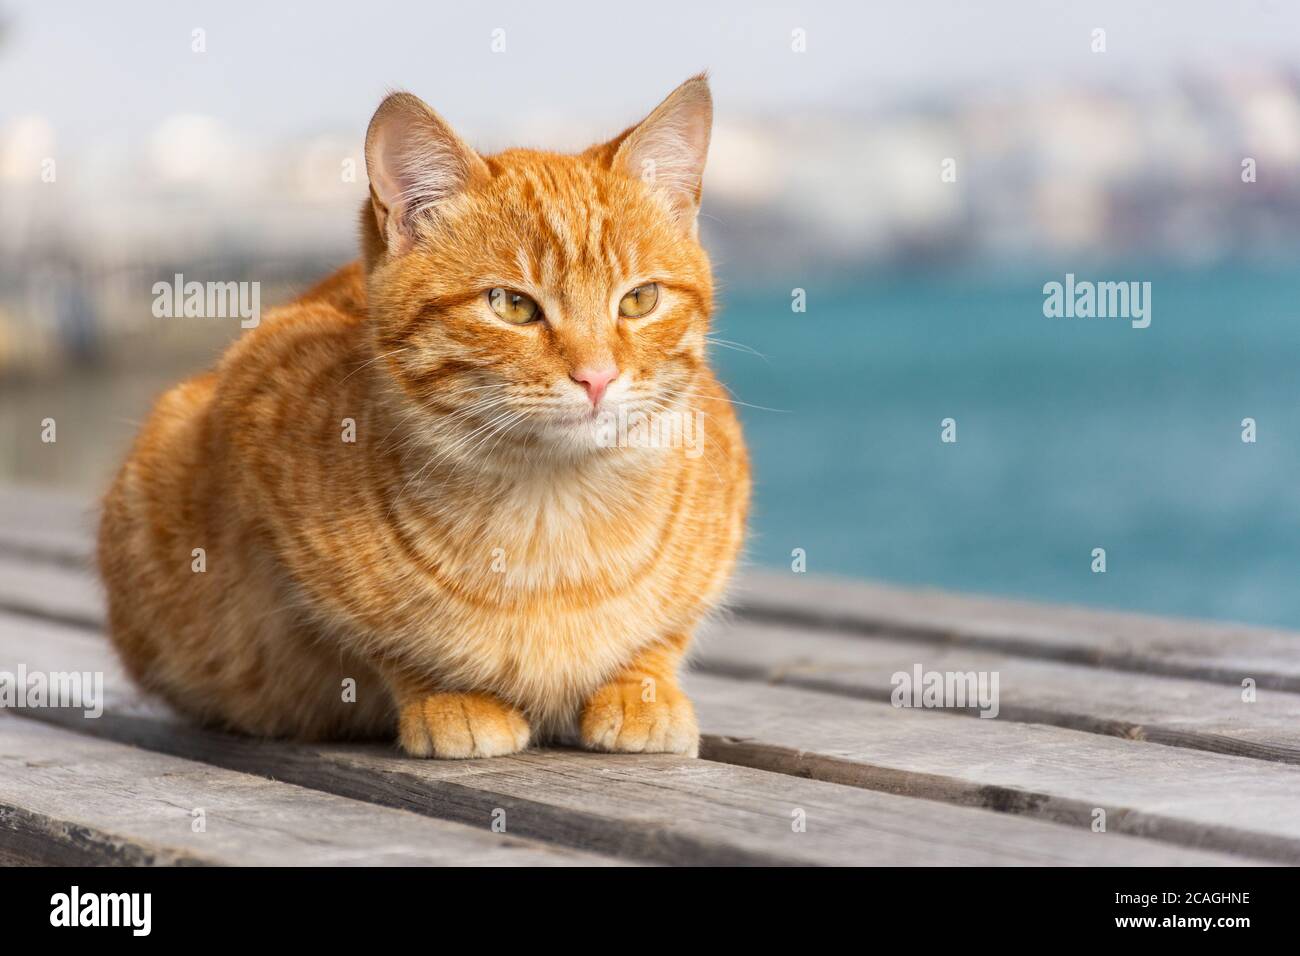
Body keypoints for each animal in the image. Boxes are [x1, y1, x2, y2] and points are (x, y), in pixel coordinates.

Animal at [96, 74, 754, 759]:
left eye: (640, 300)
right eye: (512, 305)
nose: (596, 377)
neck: (552, 505)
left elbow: (664, 633)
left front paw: (641, 688)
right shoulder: (255, 413)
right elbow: (384, 640)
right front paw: (449, 694)